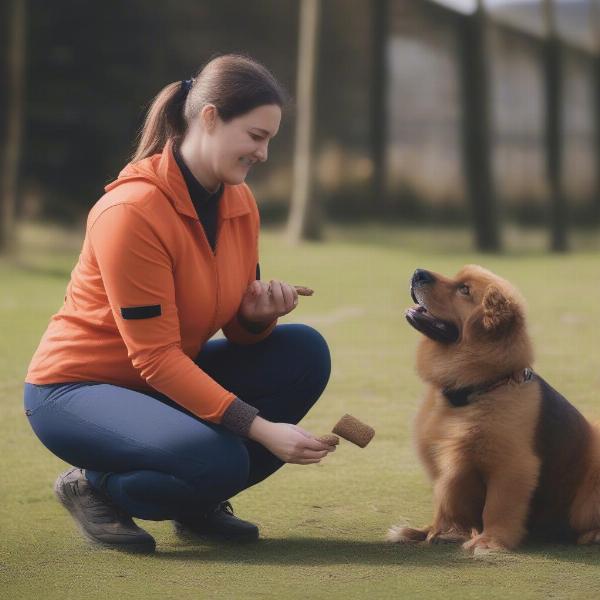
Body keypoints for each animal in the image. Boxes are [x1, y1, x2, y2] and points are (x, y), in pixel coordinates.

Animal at [390, 266, 600, 552]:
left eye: (464, 289)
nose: (417, 273)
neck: (474, 390)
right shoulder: (444, 462)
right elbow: (444, 503)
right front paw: (432, 532)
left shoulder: (512, 466)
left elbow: (498, 507)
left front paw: (489, 541)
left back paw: (592, 535)